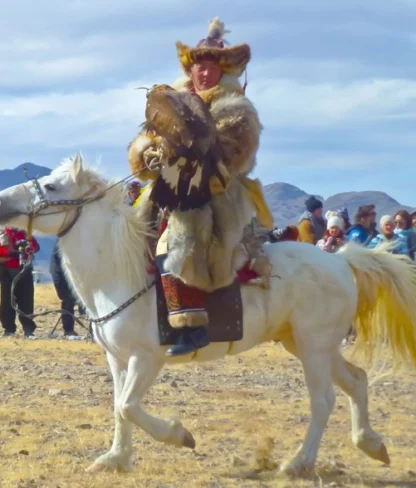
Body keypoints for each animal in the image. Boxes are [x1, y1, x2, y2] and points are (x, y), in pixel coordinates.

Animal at [0, 153, 416, 476]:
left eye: (52, 186)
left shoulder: (147, 358)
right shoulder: (117, 359)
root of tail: (341, 261)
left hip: (314, 346)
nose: (4, 202)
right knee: (357, 381)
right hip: (307, 343)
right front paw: (115, 459)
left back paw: (298, 463)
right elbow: (119, 408)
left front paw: (179, 435)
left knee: (324, 400)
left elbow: (128, 406)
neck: (120, 271)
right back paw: (371, 445)